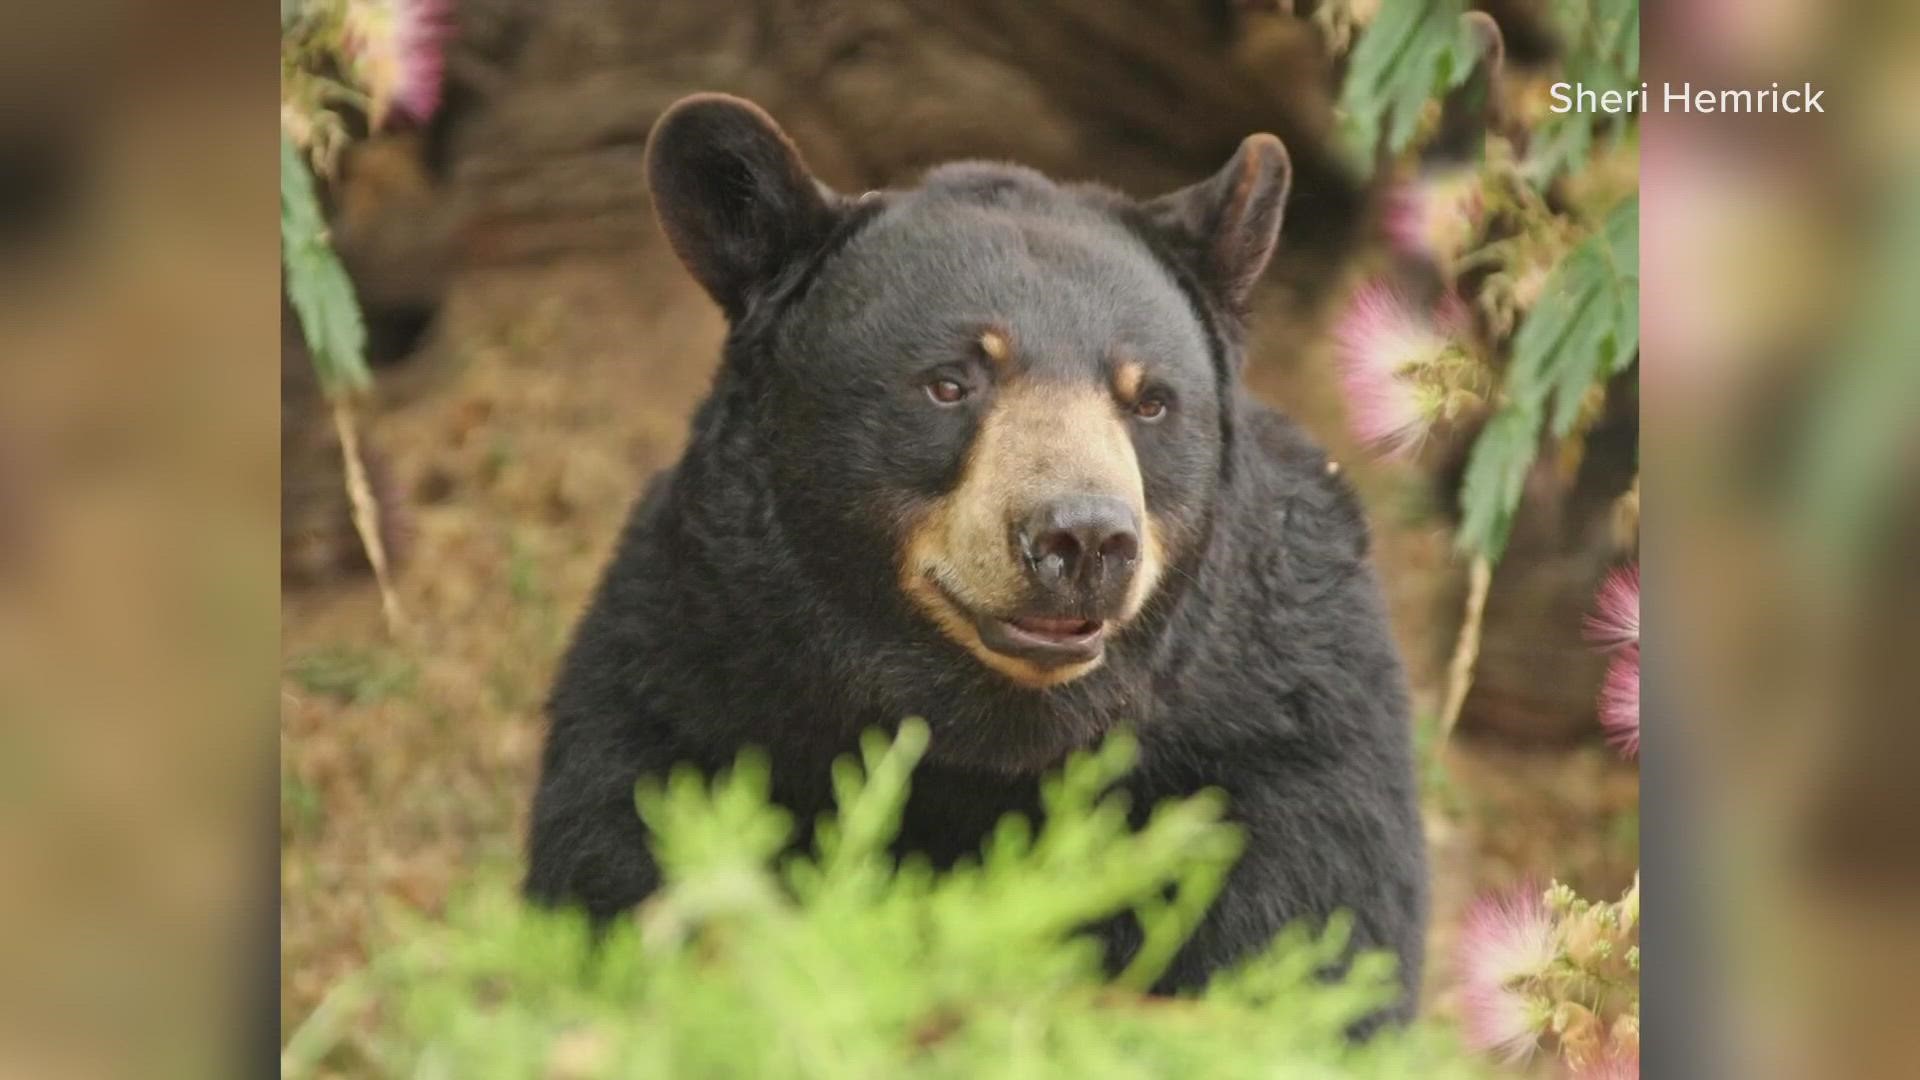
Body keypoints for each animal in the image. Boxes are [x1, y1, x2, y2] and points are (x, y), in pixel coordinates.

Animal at [526, 92, 1428, 1006]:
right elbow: (613, 849)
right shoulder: (684, 684)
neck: (988, 730)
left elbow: (1313, 917)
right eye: (949, 382)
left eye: (1149, 401)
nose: (1083, 538)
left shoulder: (1283, 728)